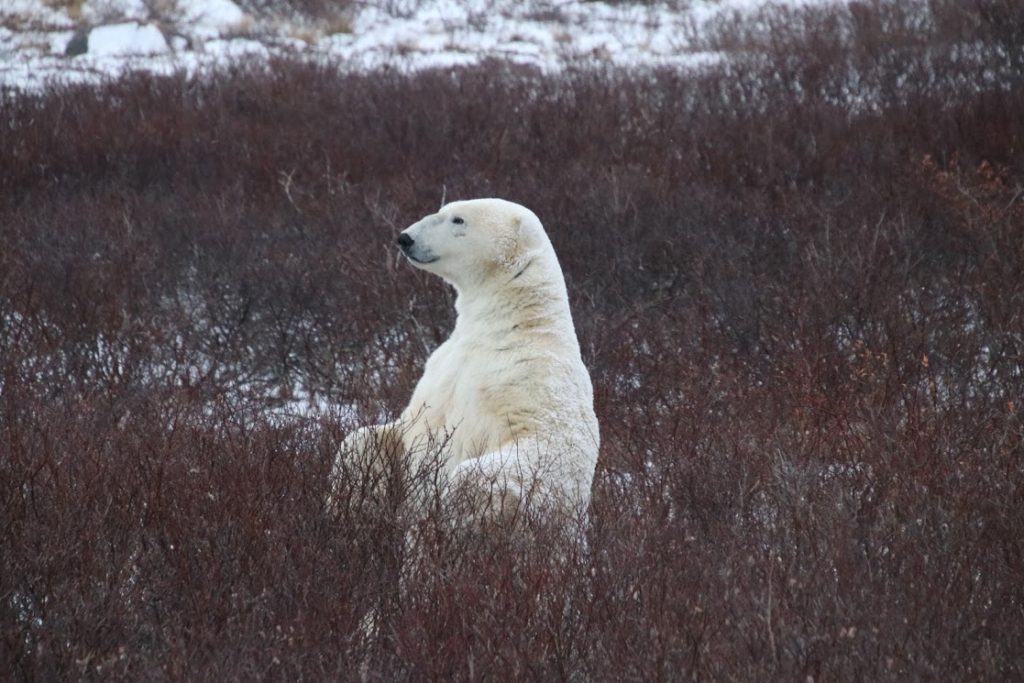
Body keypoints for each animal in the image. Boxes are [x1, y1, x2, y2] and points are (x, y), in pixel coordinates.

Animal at [335, 198, 599, 519]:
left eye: (458, 220)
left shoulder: (532, 381)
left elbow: (540, 448)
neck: (510, 325)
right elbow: (386, 434)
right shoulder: (440, 367)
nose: (405, 238)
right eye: (442, 210)